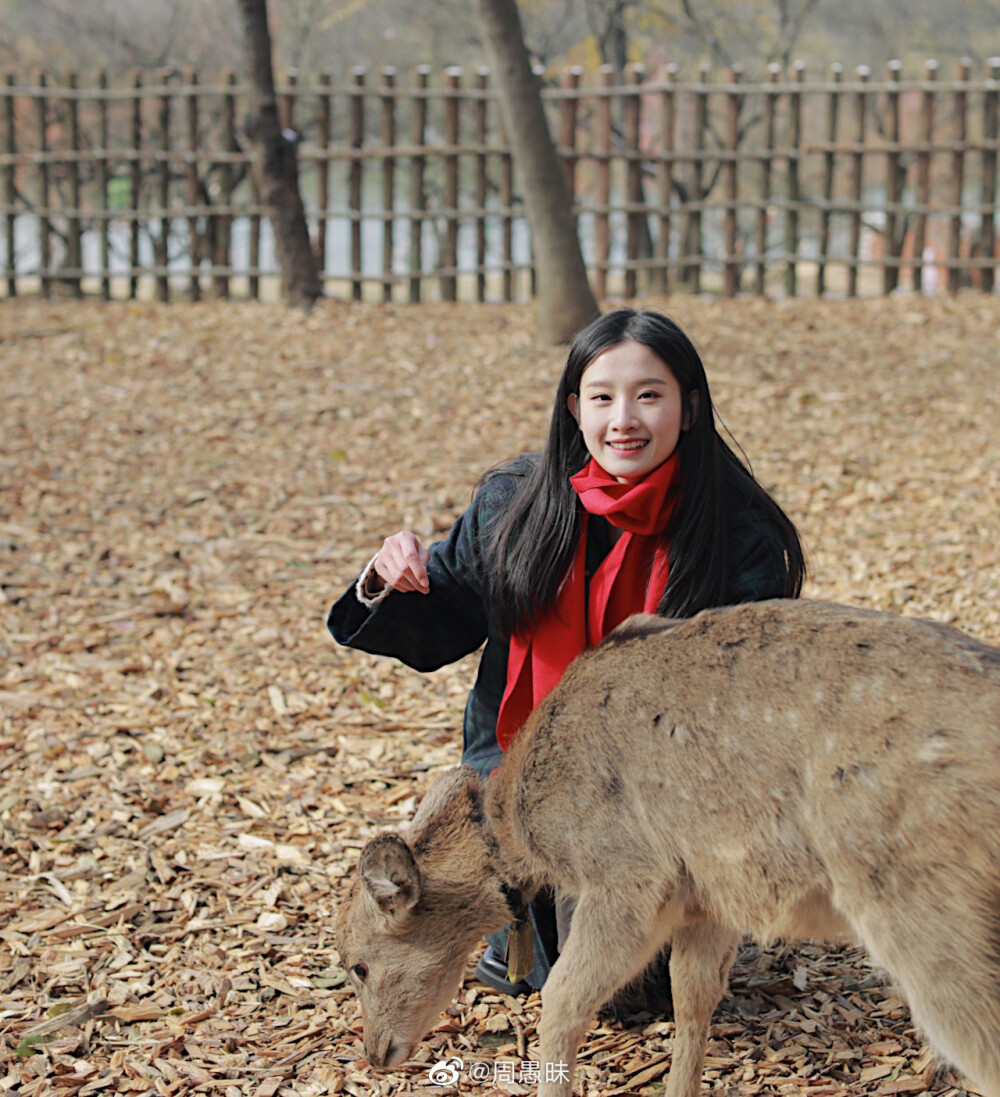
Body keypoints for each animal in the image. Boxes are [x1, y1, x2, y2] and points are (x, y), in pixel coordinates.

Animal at [333, 601, 1000, 1097]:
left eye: (360, 964)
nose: (376, 1053)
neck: (530, 831)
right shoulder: (708, 900)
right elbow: (692, 997)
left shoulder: (628, 878)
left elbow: (562, 1001)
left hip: (928, 912)